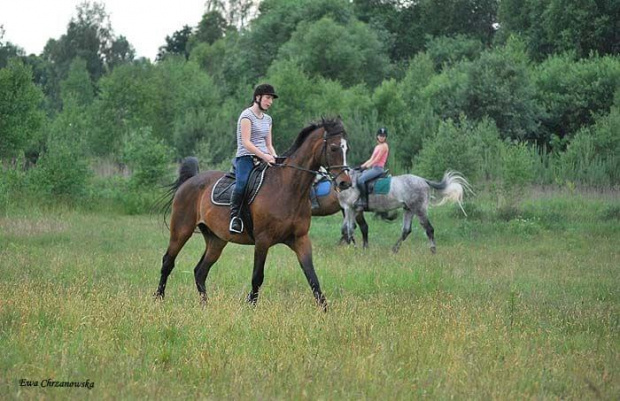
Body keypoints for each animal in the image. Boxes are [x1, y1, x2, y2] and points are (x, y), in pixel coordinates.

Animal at [154, 117, 352, 308]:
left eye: (346, 148)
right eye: (333, 148)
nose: (345, 183)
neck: (287, 188)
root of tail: (190, 181)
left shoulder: (300, 239)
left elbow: (312, 277)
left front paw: (325, 310)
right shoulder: (262, 240)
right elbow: (257, 277)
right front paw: (251, 307)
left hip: (216, 240)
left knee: (200, 271)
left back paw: (205, 305)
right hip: (181, 230)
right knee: (167, 262)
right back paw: (159, 299)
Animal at [340, 170, 470, 253]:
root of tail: (424, 180)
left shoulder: (348, 208)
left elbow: (349, 228)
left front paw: (351, 247)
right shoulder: (352, 210)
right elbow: (348, 228)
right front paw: (352, 246)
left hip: (419, 209)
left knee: (429, 229)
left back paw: (433, 250)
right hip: (408, 209)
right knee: (406, 230)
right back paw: (394, 249)